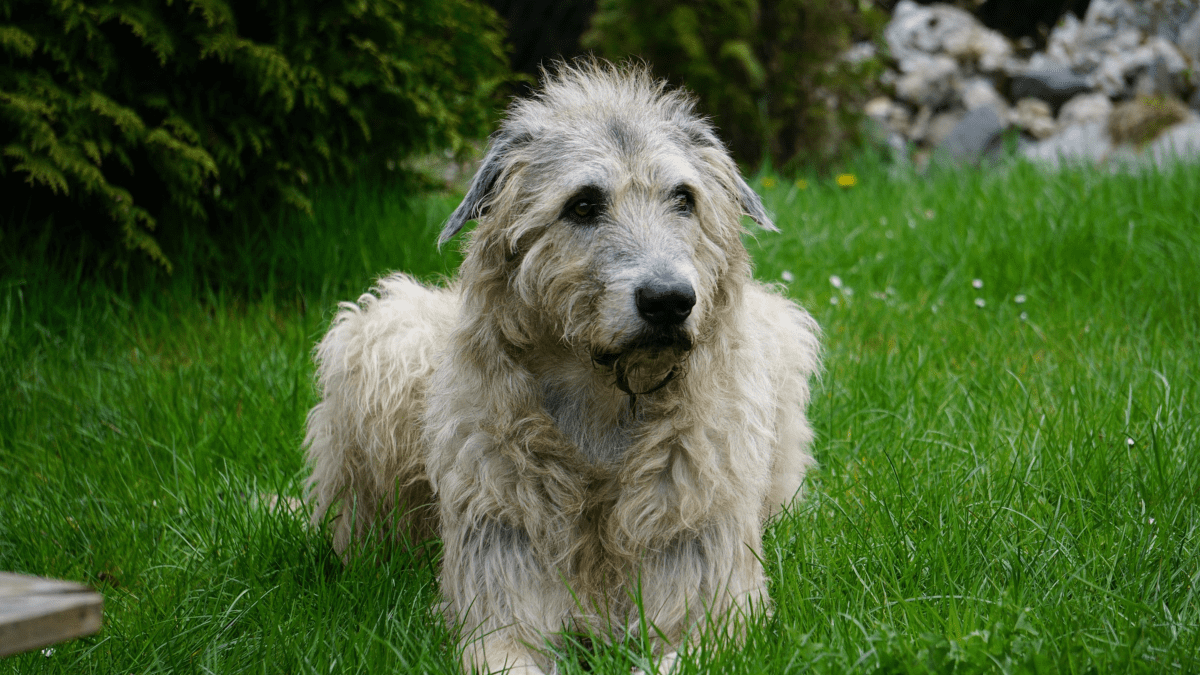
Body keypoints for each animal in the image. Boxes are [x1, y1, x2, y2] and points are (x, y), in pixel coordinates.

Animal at [304, 60, 820, 667]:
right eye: (583, 204)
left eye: (684, 198)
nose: (669, 301)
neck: (605, 407)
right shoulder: (500, 605)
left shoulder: (713, 612)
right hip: (381, 338)